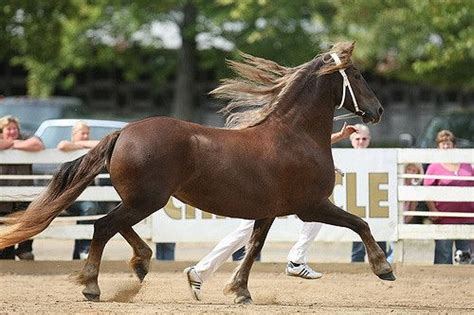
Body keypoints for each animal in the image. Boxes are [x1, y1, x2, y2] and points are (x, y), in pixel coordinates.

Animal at [0, 42, 392, 304]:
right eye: (357, 74)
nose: (377, 111)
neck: (294, 135)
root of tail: (122, 132)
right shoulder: (311, 206)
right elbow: (360, 223)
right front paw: (383, 268)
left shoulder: (267, 211)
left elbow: (252, 247)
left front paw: (240, 291)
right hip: (147, 199)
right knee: (103, 226)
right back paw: (93, 286)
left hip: (142, 199)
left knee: (115, 225)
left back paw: (141, 263)